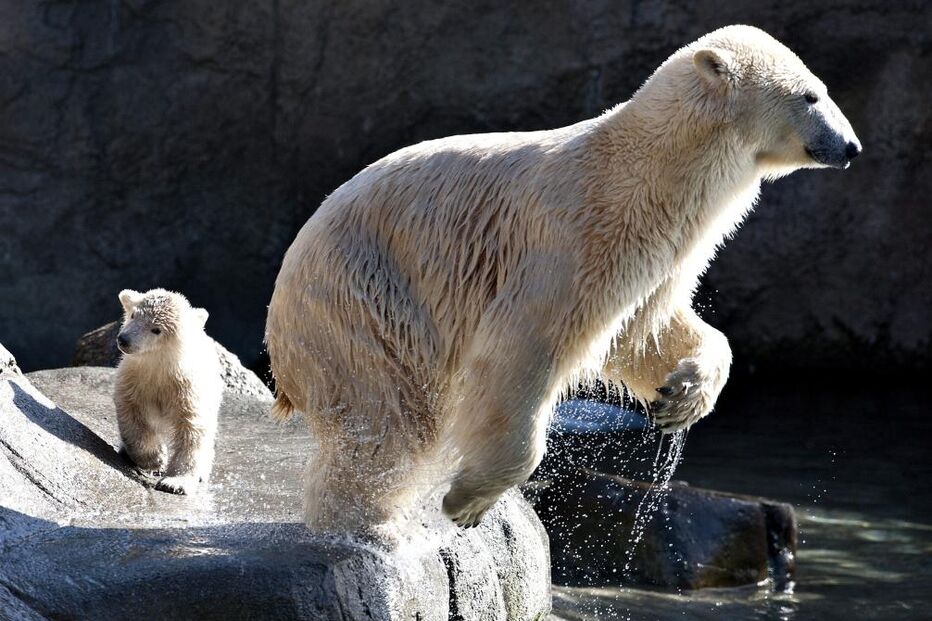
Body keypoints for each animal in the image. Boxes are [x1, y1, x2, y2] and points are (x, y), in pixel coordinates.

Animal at [114, 288, 223, 495]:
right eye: (133, 315)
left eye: (156, 329)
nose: (124, 340)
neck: (161, 368)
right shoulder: (135, 380)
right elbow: (132, 416)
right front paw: (155, 459)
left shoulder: (187, 391)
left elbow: (191, 431)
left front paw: (175, 483)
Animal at [265, 25, 861, 531]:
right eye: (811, 96)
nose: (851, 147)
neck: (650, 174)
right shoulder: (575, 241)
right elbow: (523, 349)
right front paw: (467, 500)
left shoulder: (658, 256)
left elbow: (645, 330)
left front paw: (680, 396)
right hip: (362, 294)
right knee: (389, 420)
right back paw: (368, 523)